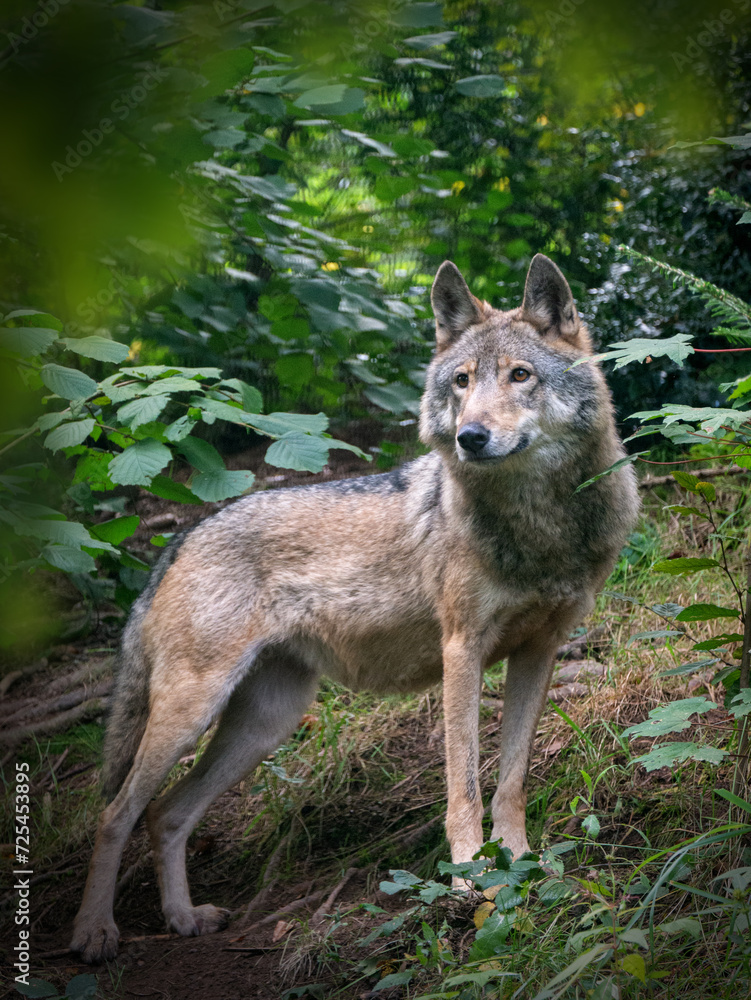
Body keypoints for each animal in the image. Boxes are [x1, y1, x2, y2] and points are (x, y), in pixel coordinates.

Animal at [71, 254, 639, 962]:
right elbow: (464, 787)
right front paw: (473, 879)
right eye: (461, 382)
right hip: (191, 710)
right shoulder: (462, 652)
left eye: (520, 375)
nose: (470, 437)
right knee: (116, 813)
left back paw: (182, 918)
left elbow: (509, 783)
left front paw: (525, 866)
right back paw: (94, 931)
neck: (540, 528)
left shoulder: (539, 651)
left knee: (167, 814)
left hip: (265, 724)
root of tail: (182, 536)